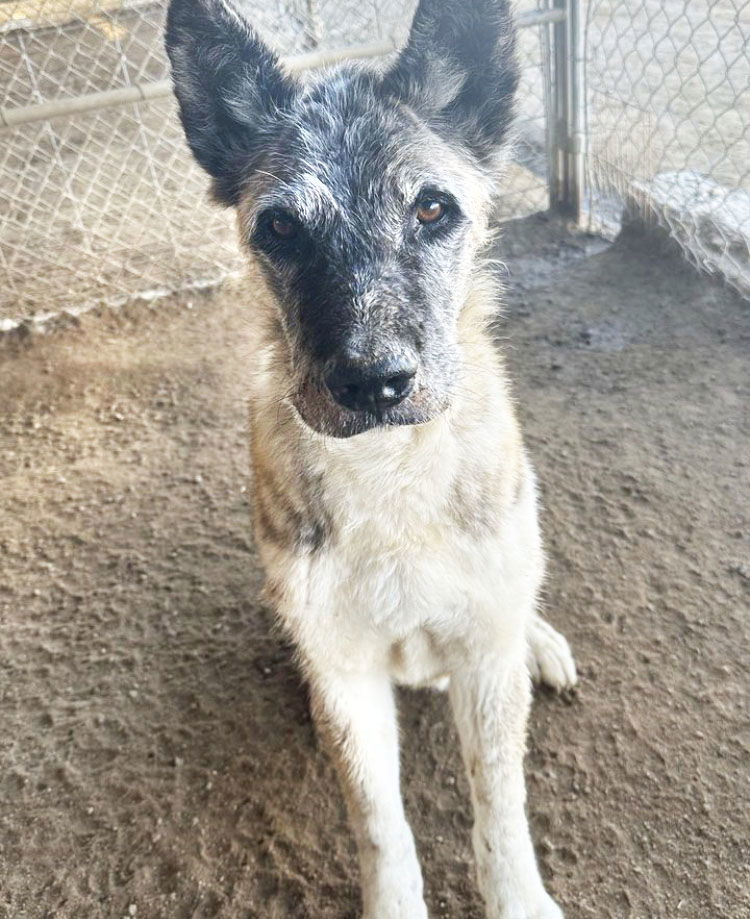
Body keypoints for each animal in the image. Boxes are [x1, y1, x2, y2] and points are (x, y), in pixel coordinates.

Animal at [166, 1, 576, 912]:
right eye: (280, 227)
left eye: (433, 210)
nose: (374, 382)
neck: (392, 473)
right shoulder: (345, 676)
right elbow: (381, 823)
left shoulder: (484, 665)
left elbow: (501, 802)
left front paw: (518, 894)